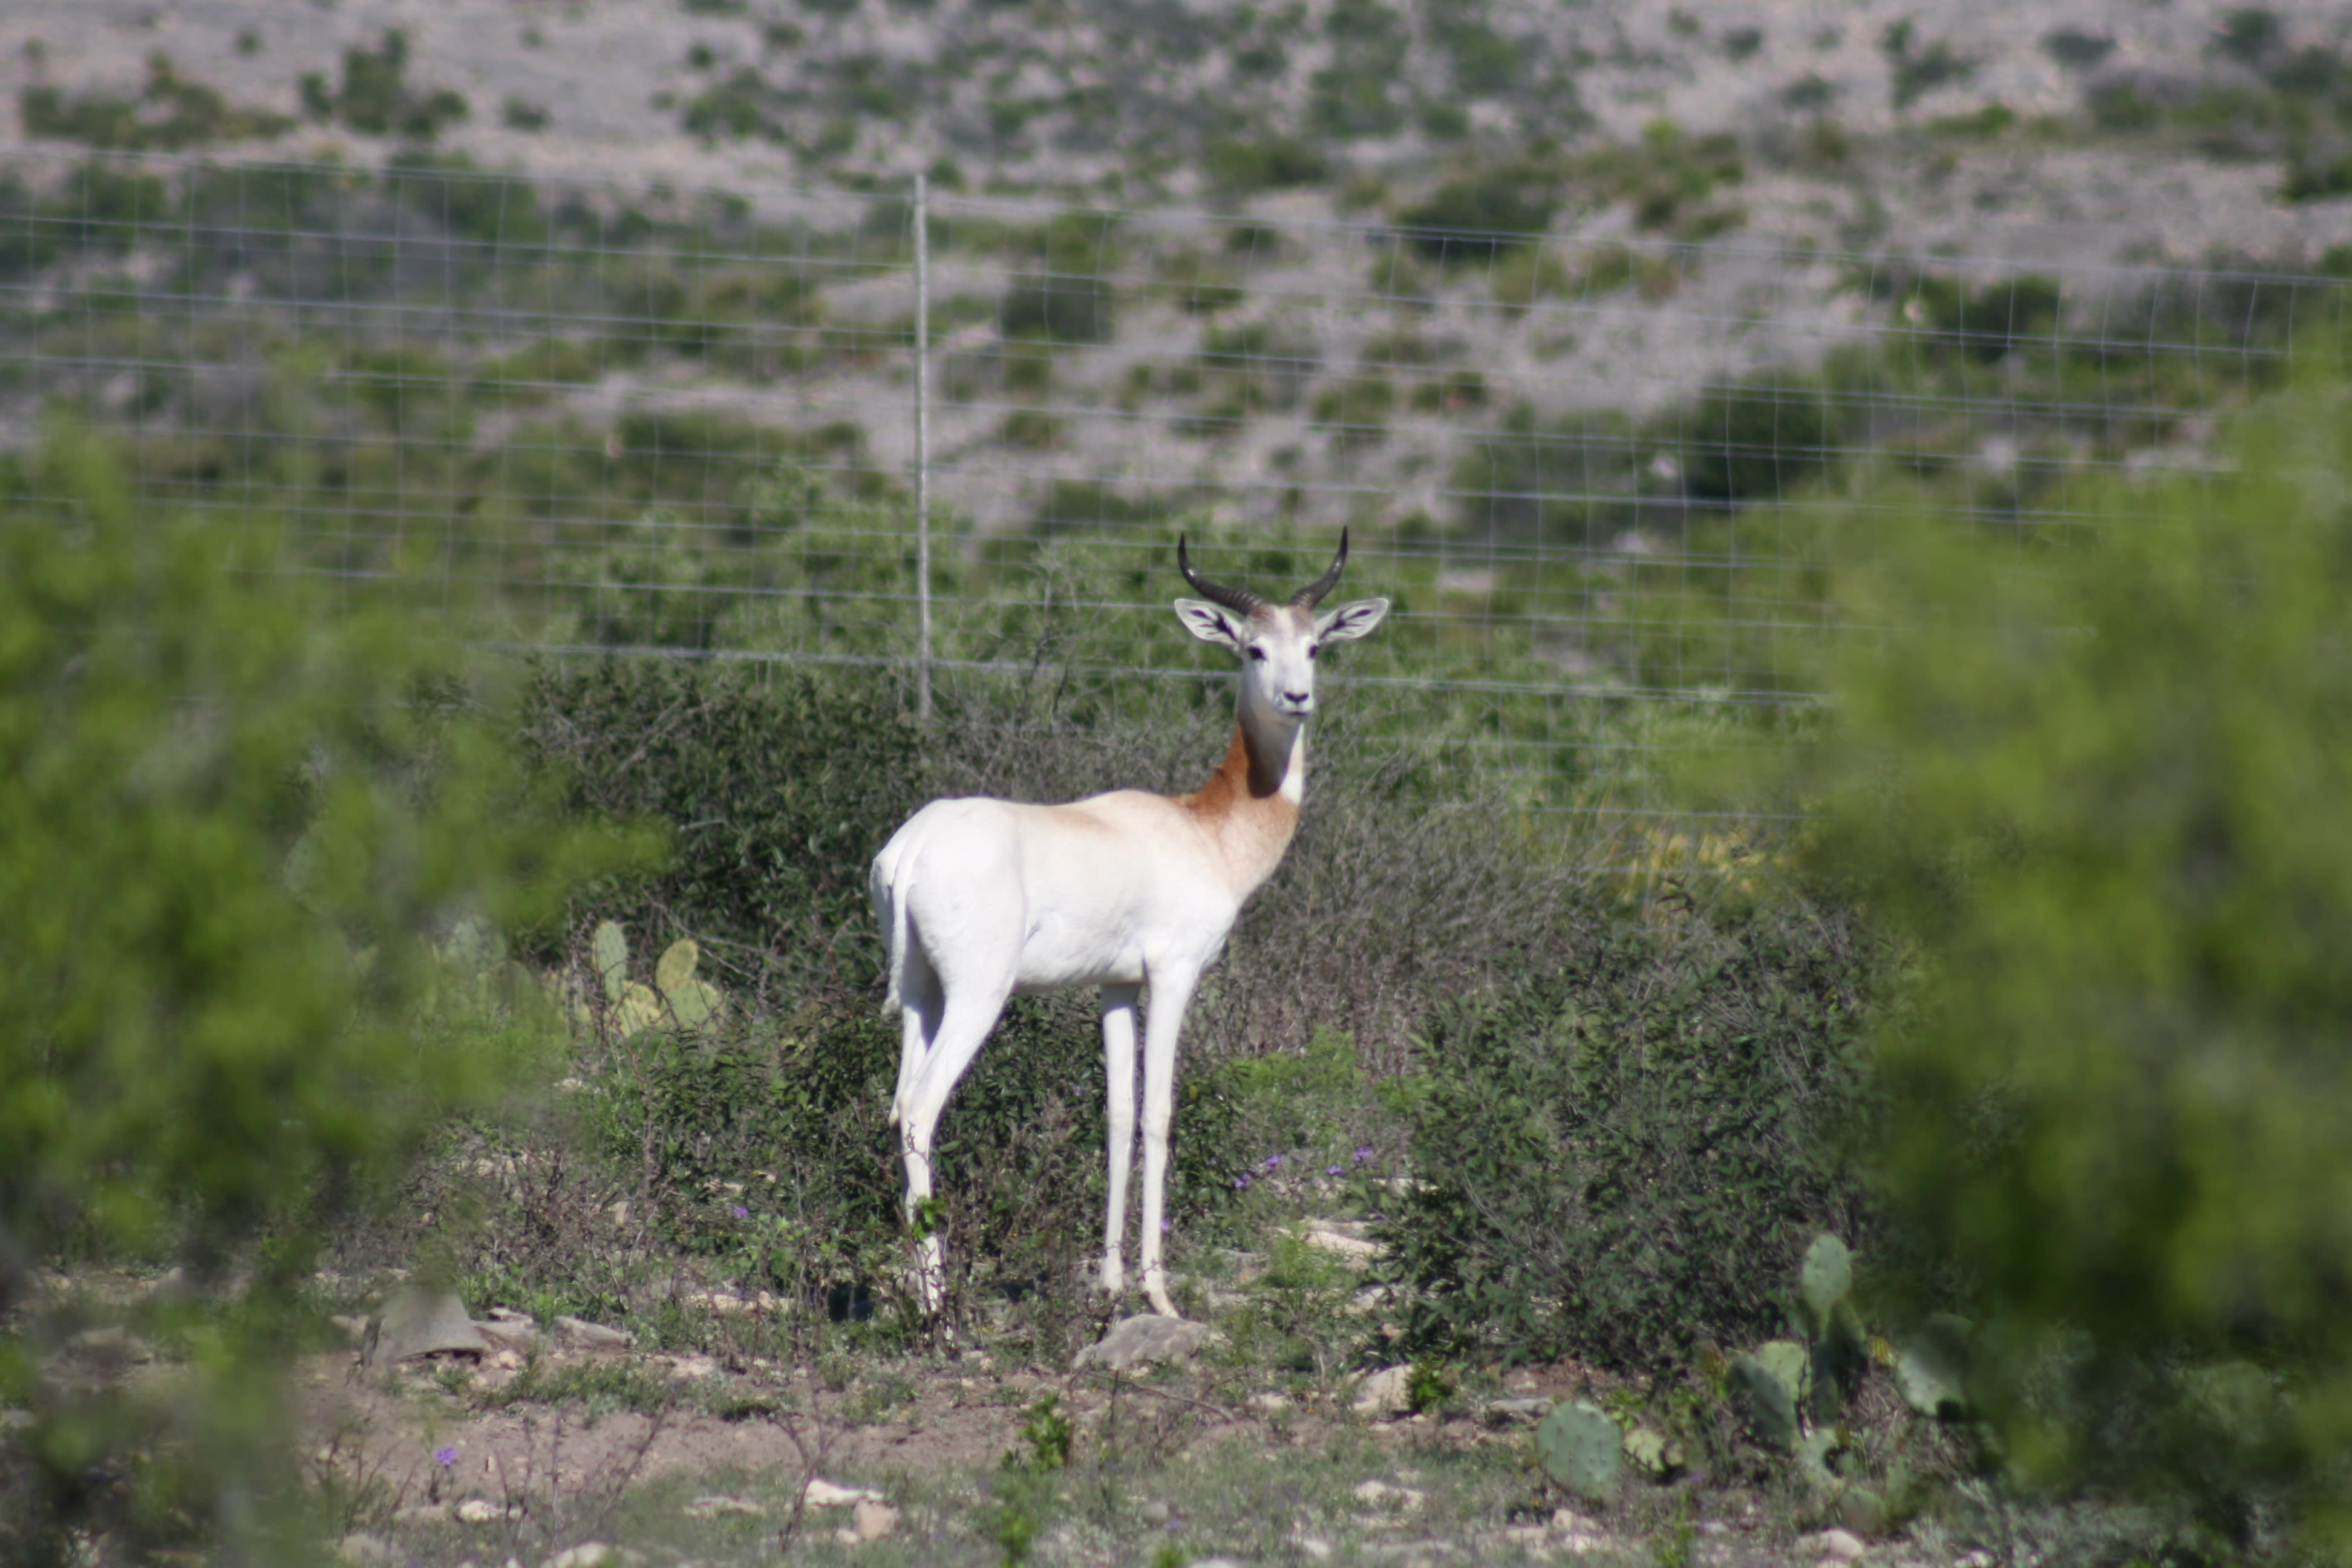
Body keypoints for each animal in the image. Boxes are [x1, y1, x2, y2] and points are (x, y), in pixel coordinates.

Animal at [870, 532, 1389, 1318]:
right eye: (1253, 648)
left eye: (1315, 646)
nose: (1298, 698)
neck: (1205, 830)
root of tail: (914, 847)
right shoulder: (1173, 975)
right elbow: (1157, 1114)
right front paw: (1159, 1293)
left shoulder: (1113, 986)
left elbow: (1116, 1115)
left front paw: (1110, 1283)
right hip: (977, 997)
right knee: (923, 1110)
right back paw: (937, 1302)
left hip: (920, 997)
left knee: (898, 1105)